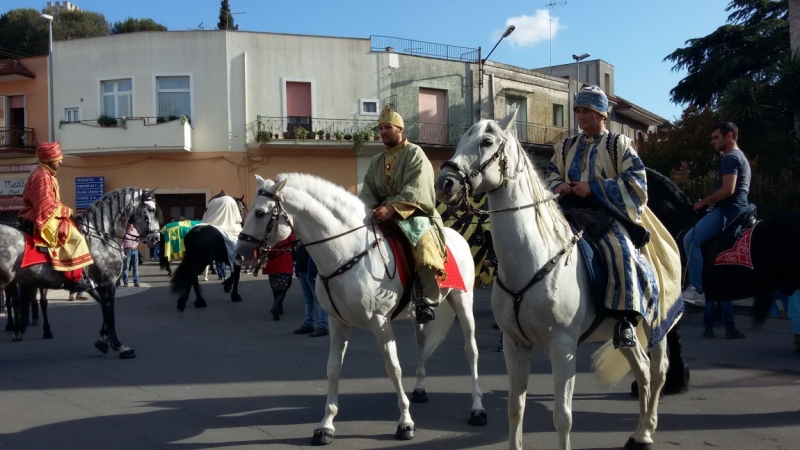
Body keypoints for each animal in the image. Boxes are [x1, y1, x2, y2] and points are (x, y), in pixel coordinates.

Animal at [0, 187, 159, 358]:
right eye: (151, 210)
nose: (156, 237)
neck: (102, 237)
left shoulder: (96, 285)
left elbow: (104, 310)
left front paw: (103, 340)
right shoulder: (108, 283)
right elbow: (110, 314)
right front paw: (119, 346)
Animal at [234, 174, 484, 444]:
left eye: (260, 213)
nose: (239, 255)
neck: (347, 253)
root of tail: (455, 234)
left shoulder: (380, 323)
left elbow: (393, 368)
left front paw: (405, 423)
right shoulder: (337, 323)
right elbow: (333, 368)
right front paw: (326, 425)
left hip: (463, 302)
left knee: (471, 350)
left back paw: (477, 407)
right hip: (418, 314)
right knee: (421, 342)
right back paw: (419, 388)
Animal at [438, 112, 676, 450]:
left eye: (486, 141)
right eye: (460, 140)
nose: (445, 182)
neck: (533, 260)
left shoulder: (563, 349)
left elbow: (563, 417)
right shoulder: (514, 344)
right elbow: (515, 407)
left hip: (657, 324)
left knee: (657, 372)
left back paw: (646, 433)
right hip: (624, 333)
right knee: (641, 370)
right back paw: (639, 432)